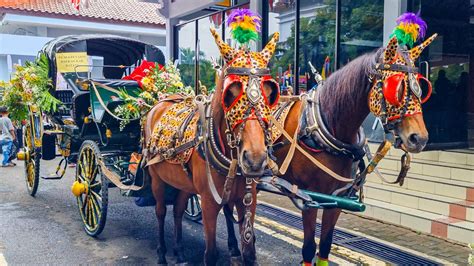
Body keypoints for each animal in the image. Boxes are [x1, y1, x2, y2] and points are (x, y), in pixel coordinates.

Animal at [143, 28, 280, 264]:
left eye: (271, 92)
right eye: (230, 93)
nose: (255, 160)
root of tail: (159, 102)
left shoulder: (247, 201)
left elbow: (249, 252)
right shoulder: (208, 202)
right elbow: (211, 253)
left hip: (183, 183)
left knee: (178, 209)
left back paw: (179, 251)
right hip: (156, 178)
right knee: (160, 211)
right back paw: (162, 253)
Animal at [226, 33, 436, 264]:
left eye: (422, 88)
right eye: (395, 89)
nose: (419, 138)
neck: (325, 129)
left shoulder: (336, 198)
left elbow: (325, 245)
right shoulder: (308, 198)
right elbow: (309, 248)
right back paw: (234, 247)